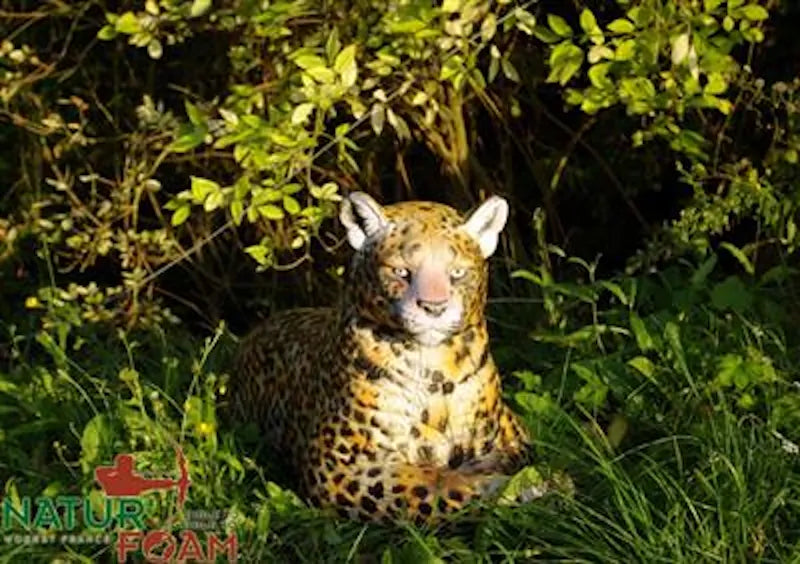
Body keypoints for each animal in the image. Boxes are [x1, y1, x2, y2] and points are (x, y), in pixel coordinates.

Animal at [228, 191, 533, 522]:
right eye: (401, 272)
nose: (434, 307)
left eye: (457, 273)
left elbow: (517, 455)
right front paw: (509, 489)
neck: (434, 369)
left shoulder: (515, 434)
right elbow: (430, 487)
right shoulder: (335, 466)